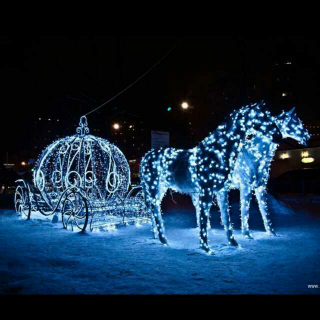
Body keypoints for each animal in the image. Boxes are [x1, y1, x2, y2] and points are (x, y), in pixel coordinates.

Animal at [140, 101, 280, 254]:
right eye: (262, 116)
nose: (278, 135)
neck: (217, 153)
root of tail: (145, 157)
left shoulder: (222, 191)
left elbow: (226, 217)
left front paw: (233, 243)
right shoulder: (206, 192)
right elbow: (203, 220)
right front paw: (206, 248)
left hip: (160, 188)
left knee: (153, 208)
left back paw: (156, 236)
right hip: (153, 187)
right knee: (155, 209)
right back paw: (163, 240)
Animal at [228, 107, 310, 238]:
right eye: (295, 122)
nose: (308, 137)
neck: (255, 154)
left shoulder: (260, 187)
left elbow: (265, 212)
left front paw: (272, 233)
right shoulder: (245, 187)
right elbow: (245, 211)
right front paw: (247, 235)